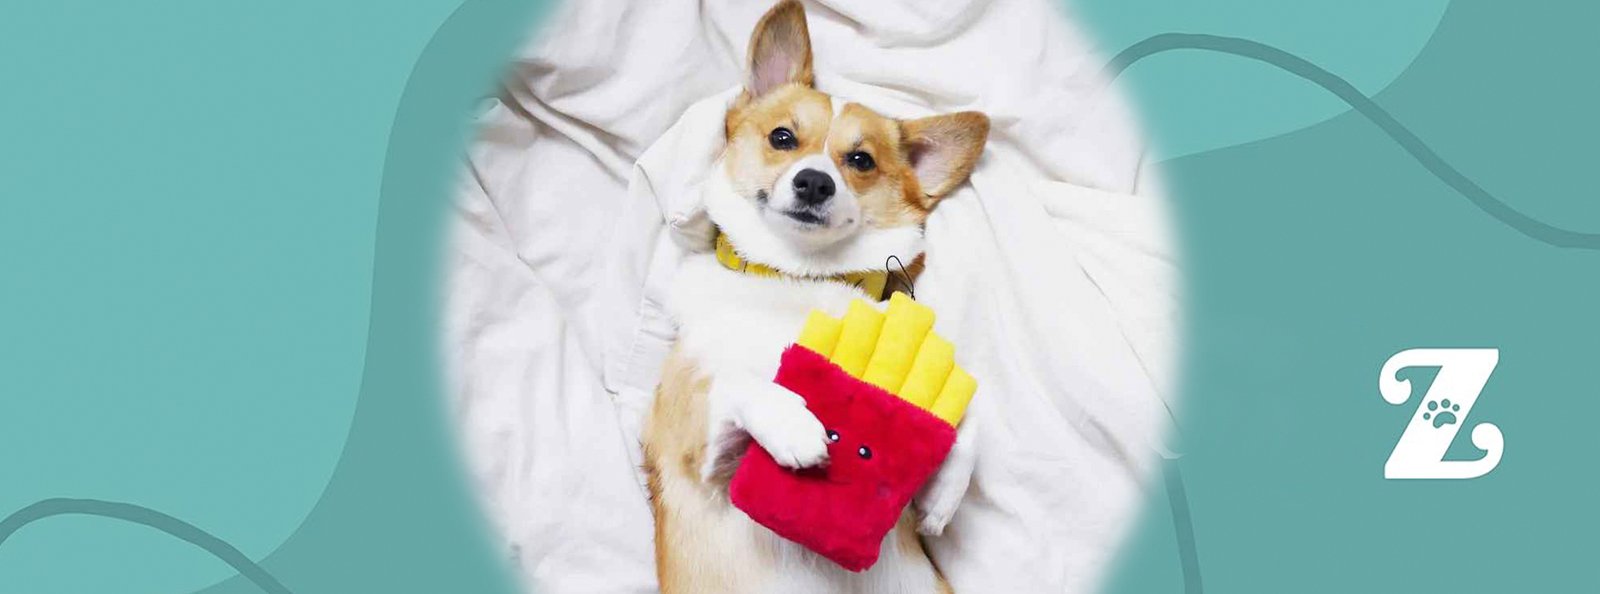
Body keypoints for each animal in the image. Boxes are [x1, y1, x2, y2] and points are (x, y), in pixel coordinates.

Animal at [640, 2, 985, 592]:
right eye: (782, 138)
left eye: (861, 161)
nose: (814, 183)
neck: (799, 277)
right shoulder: (697, 450)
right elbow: (739, 381)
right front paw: (793, 423)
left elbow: (972, 418)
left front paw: (942, 497)